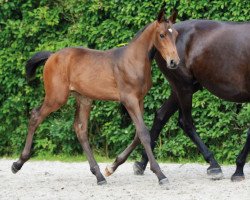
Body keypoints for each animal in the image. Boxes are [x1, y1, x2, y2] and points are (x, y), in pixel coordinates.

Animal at [11, 9, 180, 186]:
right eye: (161, 35)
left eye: (175, 34)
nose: (174, 62)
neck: (134, 60)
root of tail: (52, 56)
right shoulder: (129, 100)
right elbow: (143, 133)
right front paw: (160, 174)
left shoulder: (139, 99)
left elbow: (137, 135)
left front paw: (111, 167)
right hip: (56, 97)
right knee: (35, 116)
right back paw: (18, 163)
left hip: (84, 99)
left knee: (80, 130)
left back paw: (99, 175)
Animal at [134, 19, 249, 181]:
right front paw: (238, 170)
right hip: (184, 86)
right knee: (186, 122)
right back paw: (214, 165)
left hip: (183, 88)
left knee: (161, 115)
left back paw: (142, 163)